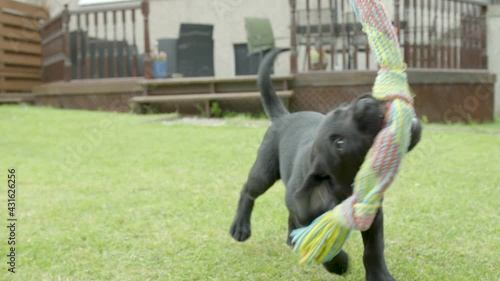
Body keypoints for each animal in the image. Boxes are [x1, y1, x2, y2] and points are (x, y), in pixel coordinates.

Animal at [230, 48, 422, 280]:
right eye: (339, 143)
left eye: (343, 108)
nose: (365, 102)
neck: (344, 190)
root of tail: (284, 117)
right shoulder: (307, 215)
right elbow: (323, 248)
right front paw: (339, 265)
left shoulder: (372, 214)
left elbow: (373, 249)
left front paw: (379, 276)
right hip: (264, 172)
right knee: (247, 191)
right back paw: (240, 227)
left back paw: (290, 239)